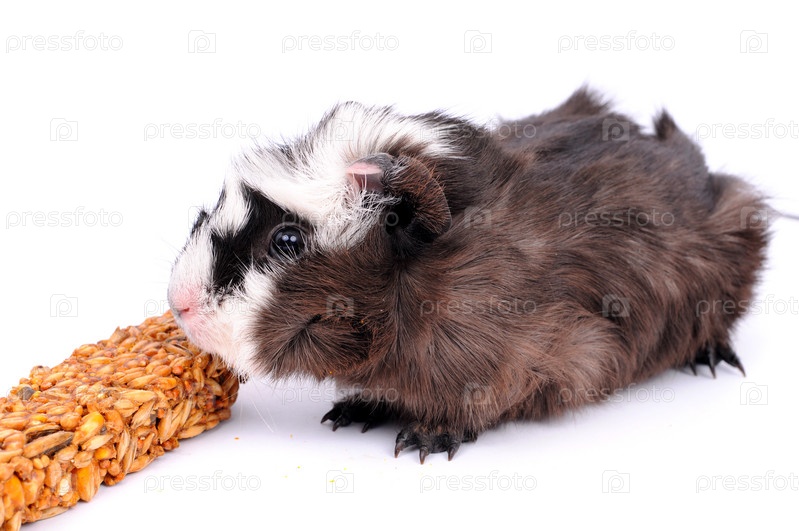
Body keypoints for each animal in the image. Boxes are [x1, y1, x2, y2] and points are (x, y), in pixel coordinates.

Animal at [168, 88, 770, 463]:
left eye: (287, 240)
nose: (179, 302)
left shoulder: (519, 362)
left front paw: (421, 443)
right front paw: (350, 412)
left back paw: (712, 361)